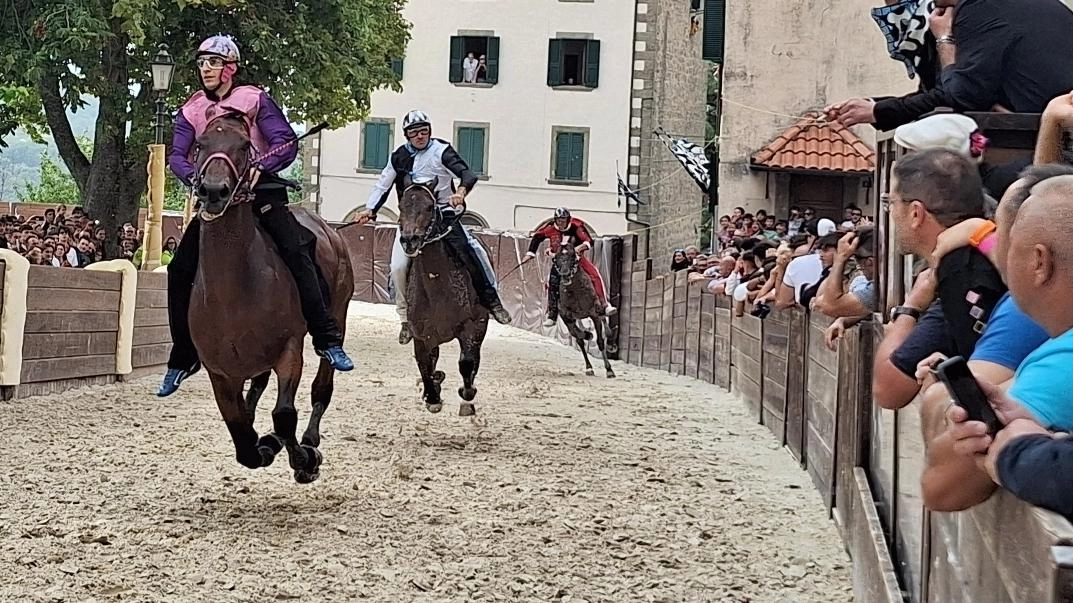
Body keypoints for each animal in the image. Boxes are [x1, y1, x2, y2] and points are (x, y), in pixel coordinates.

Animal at [190, 114, 354, 480]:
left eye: (244, 146)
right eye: (200, 144)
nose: (214, 190)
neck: (234, 294)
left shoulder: (289, 350)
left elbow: (284, 416)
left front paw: (304, 459)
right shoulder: (220, 372)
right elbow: (241, 433)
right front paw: (262, 444)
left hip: (337, 314)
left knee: (321, 385)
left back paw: (308, 439)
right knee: (257, 389)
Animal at [399, 175, 491, 416]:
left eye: (429, 207)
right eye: (401, 206)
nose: (409, 240)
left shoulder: (472, 325)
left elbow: (467, 362)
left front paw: (467, 396)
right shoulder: (422, 335)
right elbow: (424, 364)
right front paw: (432, 396)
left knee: (473, 360)